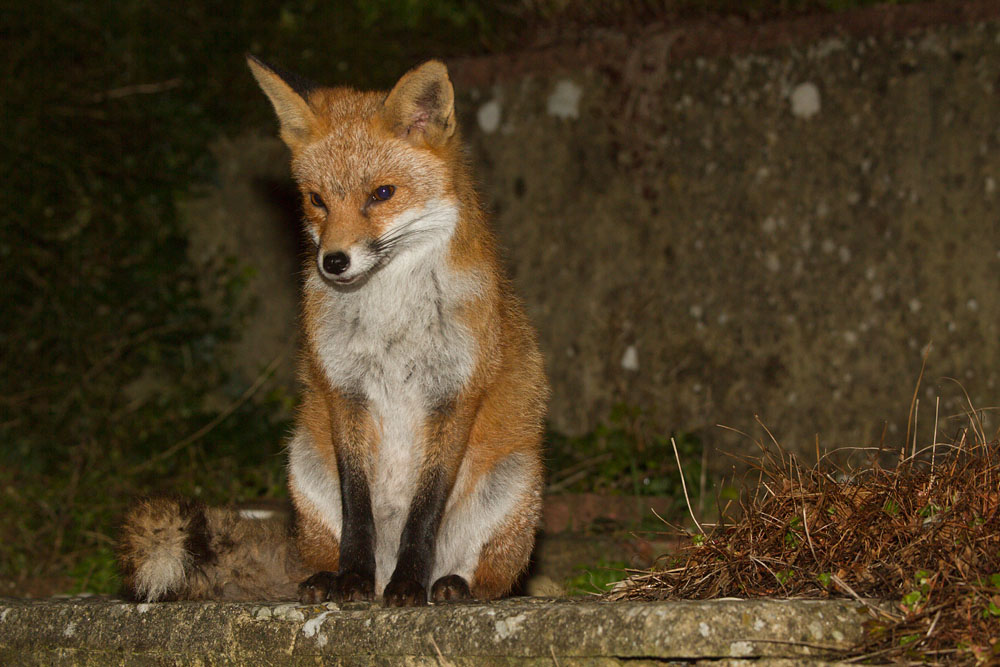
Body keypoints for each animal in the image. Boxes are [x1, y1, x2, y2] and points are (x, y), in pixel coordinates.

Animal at [118, 56, 548, 607]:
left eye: (382, 194)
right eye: (317, 200)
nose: (334, 262)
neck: (390, 314)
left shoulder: (454, 393)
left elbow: (423, 514)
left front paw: (409, 585)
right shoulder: (344, 390)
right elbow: (356, 509)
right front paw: (352, 580)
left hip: (514, 483)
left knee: (496, 581)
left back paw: (451, 585)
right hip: (303, 457)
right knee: (323, 549)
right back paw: (330, 579)